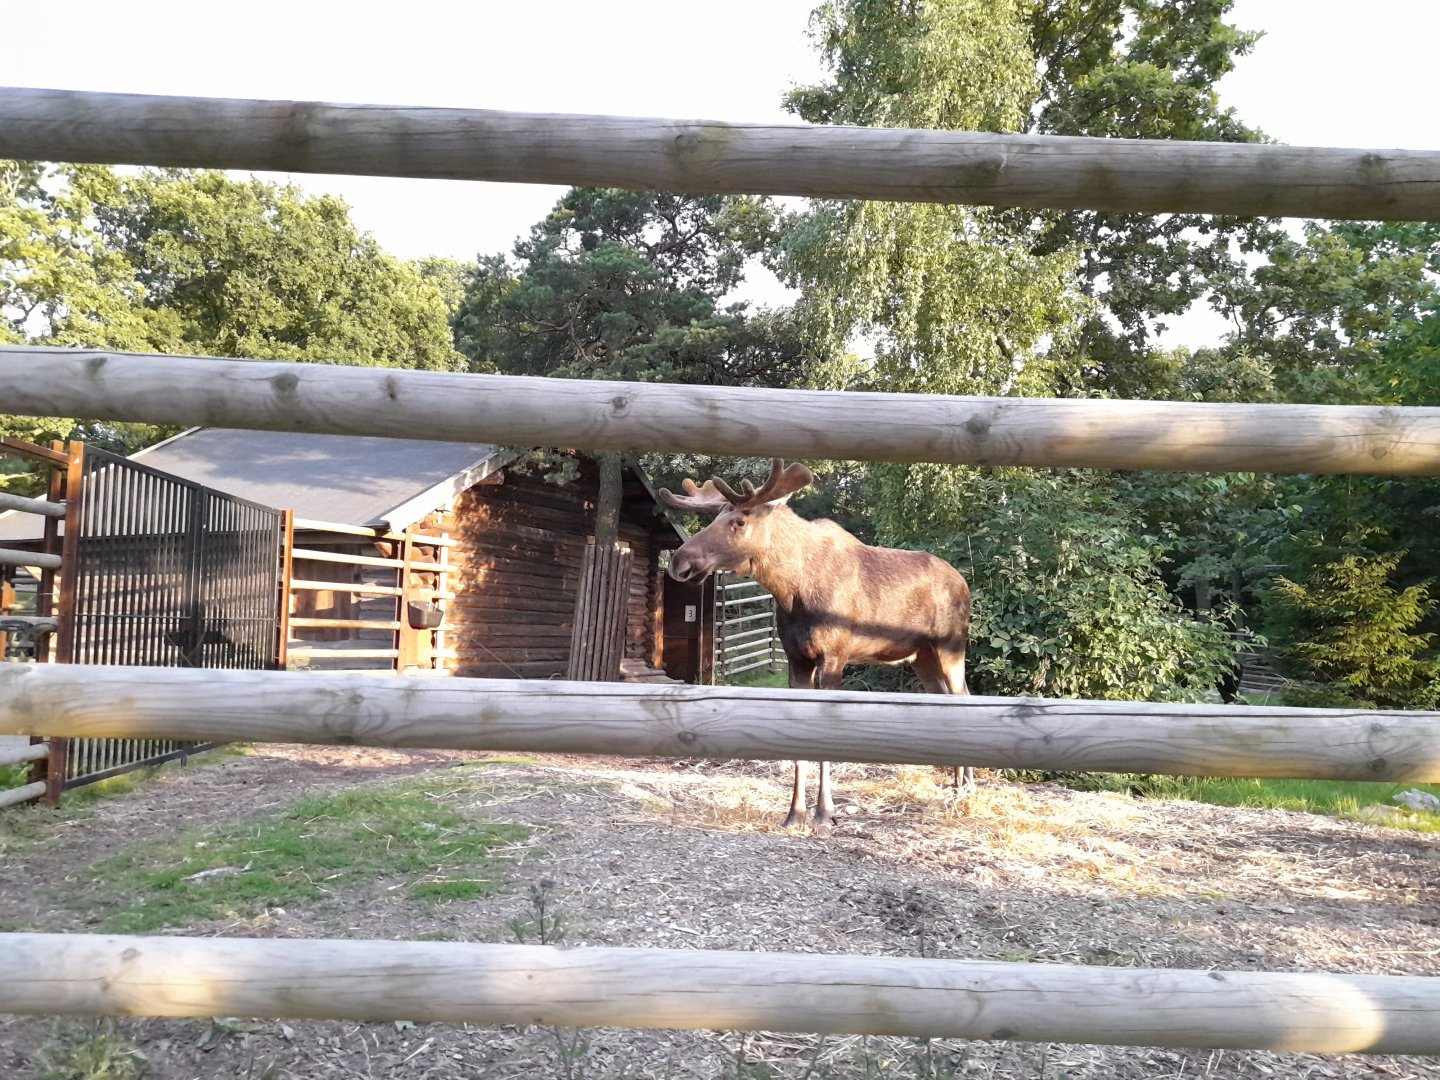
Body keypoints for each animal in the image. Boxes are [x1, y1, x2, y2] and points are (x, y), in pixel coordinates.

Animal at [660, 459, 972, 834]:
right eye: (715, 516)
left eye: (739, 521)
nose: (679, 561)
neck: (792, 588)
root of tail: (964, 583)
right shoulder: (797, 658)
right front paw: (795, 813)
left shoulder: (834, 656)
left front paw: (824, 814)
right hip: (921, 655)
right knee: (953, 699)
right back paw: (959, 787)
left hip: (950, 646)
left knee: (963, 696)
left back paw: (964, 791)